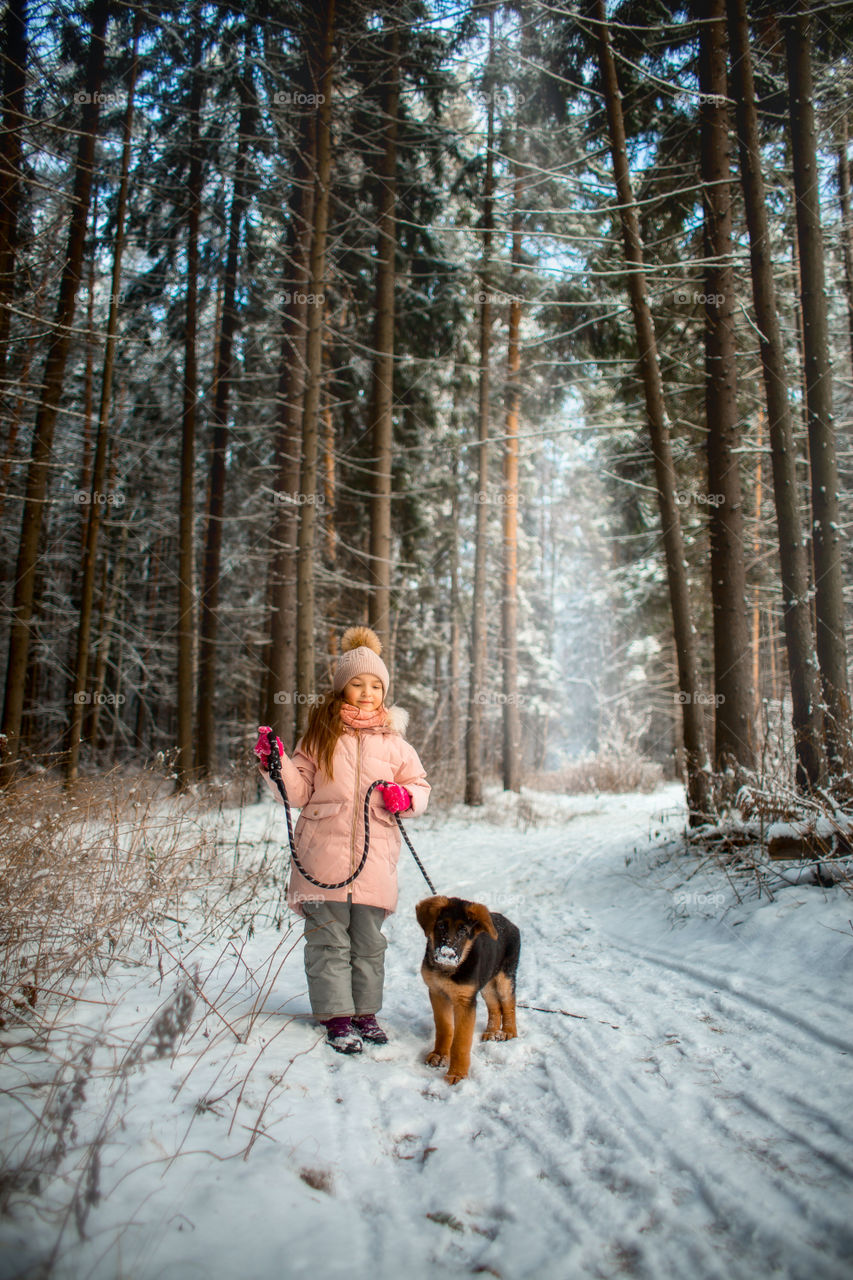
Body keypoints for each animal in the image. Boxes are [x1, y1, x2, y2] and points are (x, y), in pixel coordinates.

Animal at [412, 896, 517, 1085]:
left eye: (463, 931)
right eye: (441, 926)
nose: (446, 955)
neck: (447, 971)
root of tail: (510, 923)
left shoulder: (465, 1001)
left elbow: (461, 1041)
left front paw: (457, 1074)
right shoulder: (437, 993)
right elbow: (444, 1027)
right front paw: (440, 1055)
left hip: (505, 978)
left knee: (509, 1003)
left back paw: (509, 1031)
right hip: (486, 984)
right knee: (495, 1006)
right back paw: (491, 1032)